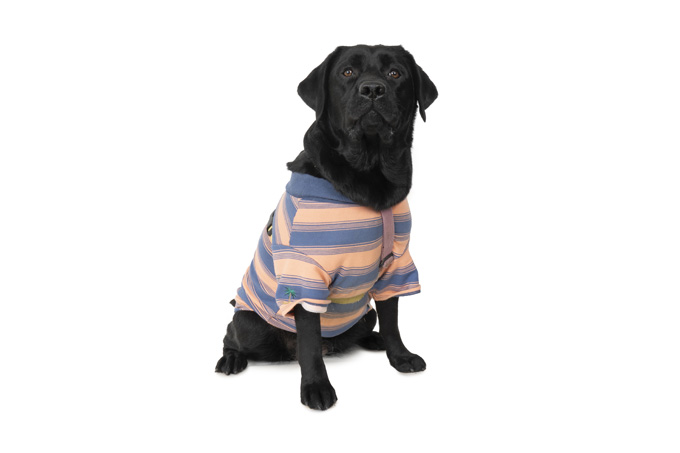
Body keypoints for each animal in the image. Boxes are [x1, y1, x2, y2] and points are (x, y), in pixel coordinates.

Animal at [215, 45, 437, 410]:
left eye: (395, 74)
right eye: (347, 72)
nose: (372, 89)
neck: (368, 176)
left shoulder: (397, 264)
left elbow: (392, 317)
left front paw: (400, 356)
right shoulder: (304, 275)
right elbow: (308, 341)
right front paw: (316, 387)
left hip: (364, 314)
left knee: (369, 324)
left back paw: (373, 340)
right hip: (248, 323)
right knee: (231, 336)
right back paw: (231, 359)